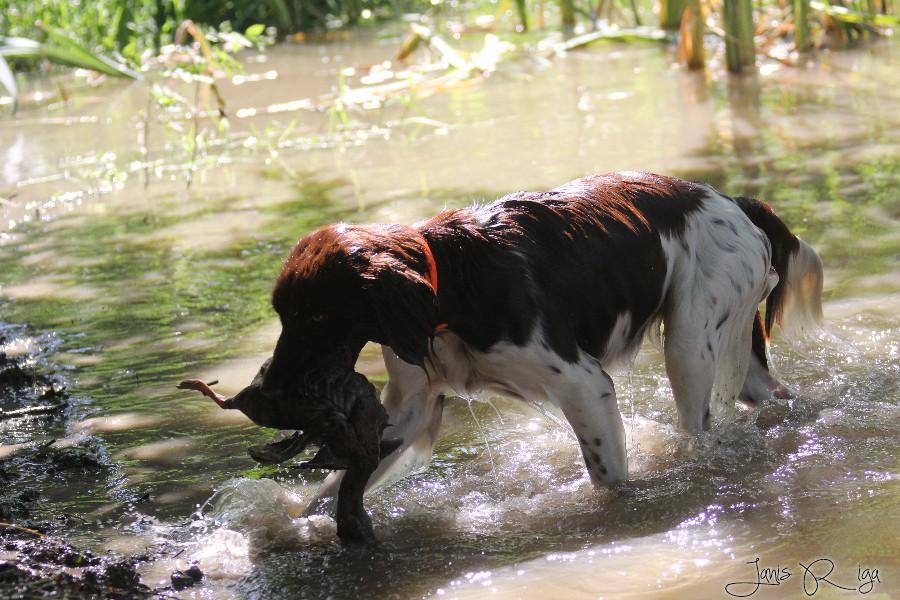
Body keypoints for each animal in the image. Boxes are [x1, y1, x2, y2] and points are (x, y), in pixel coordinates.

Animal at [259, 171, 823, 510]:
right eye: (282, 315)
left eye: (316, 314)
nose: (268, 391)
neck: (451, 284)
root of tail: (734, 201)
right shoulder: (409, 408)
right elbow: (328, 494)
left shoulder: (584, 384)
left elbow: (609, 480)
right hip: (730, 353)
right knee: (774, 394)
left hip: (688, 345)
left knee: (700, 430)